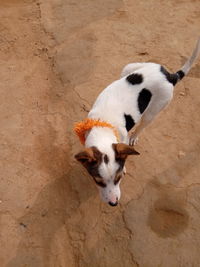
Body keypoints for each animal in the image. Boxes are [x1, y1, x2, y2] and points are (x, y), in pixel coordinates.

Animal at [74, 38, 199, 207]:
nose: (113, 203)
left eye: (119, 178)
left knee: (142, 125)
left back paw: (135, 137)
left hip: (154, 110)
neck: (104, 127)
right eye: (98, 181)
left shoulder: (122, 139)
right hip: (130, 67)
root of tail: (169, 76)